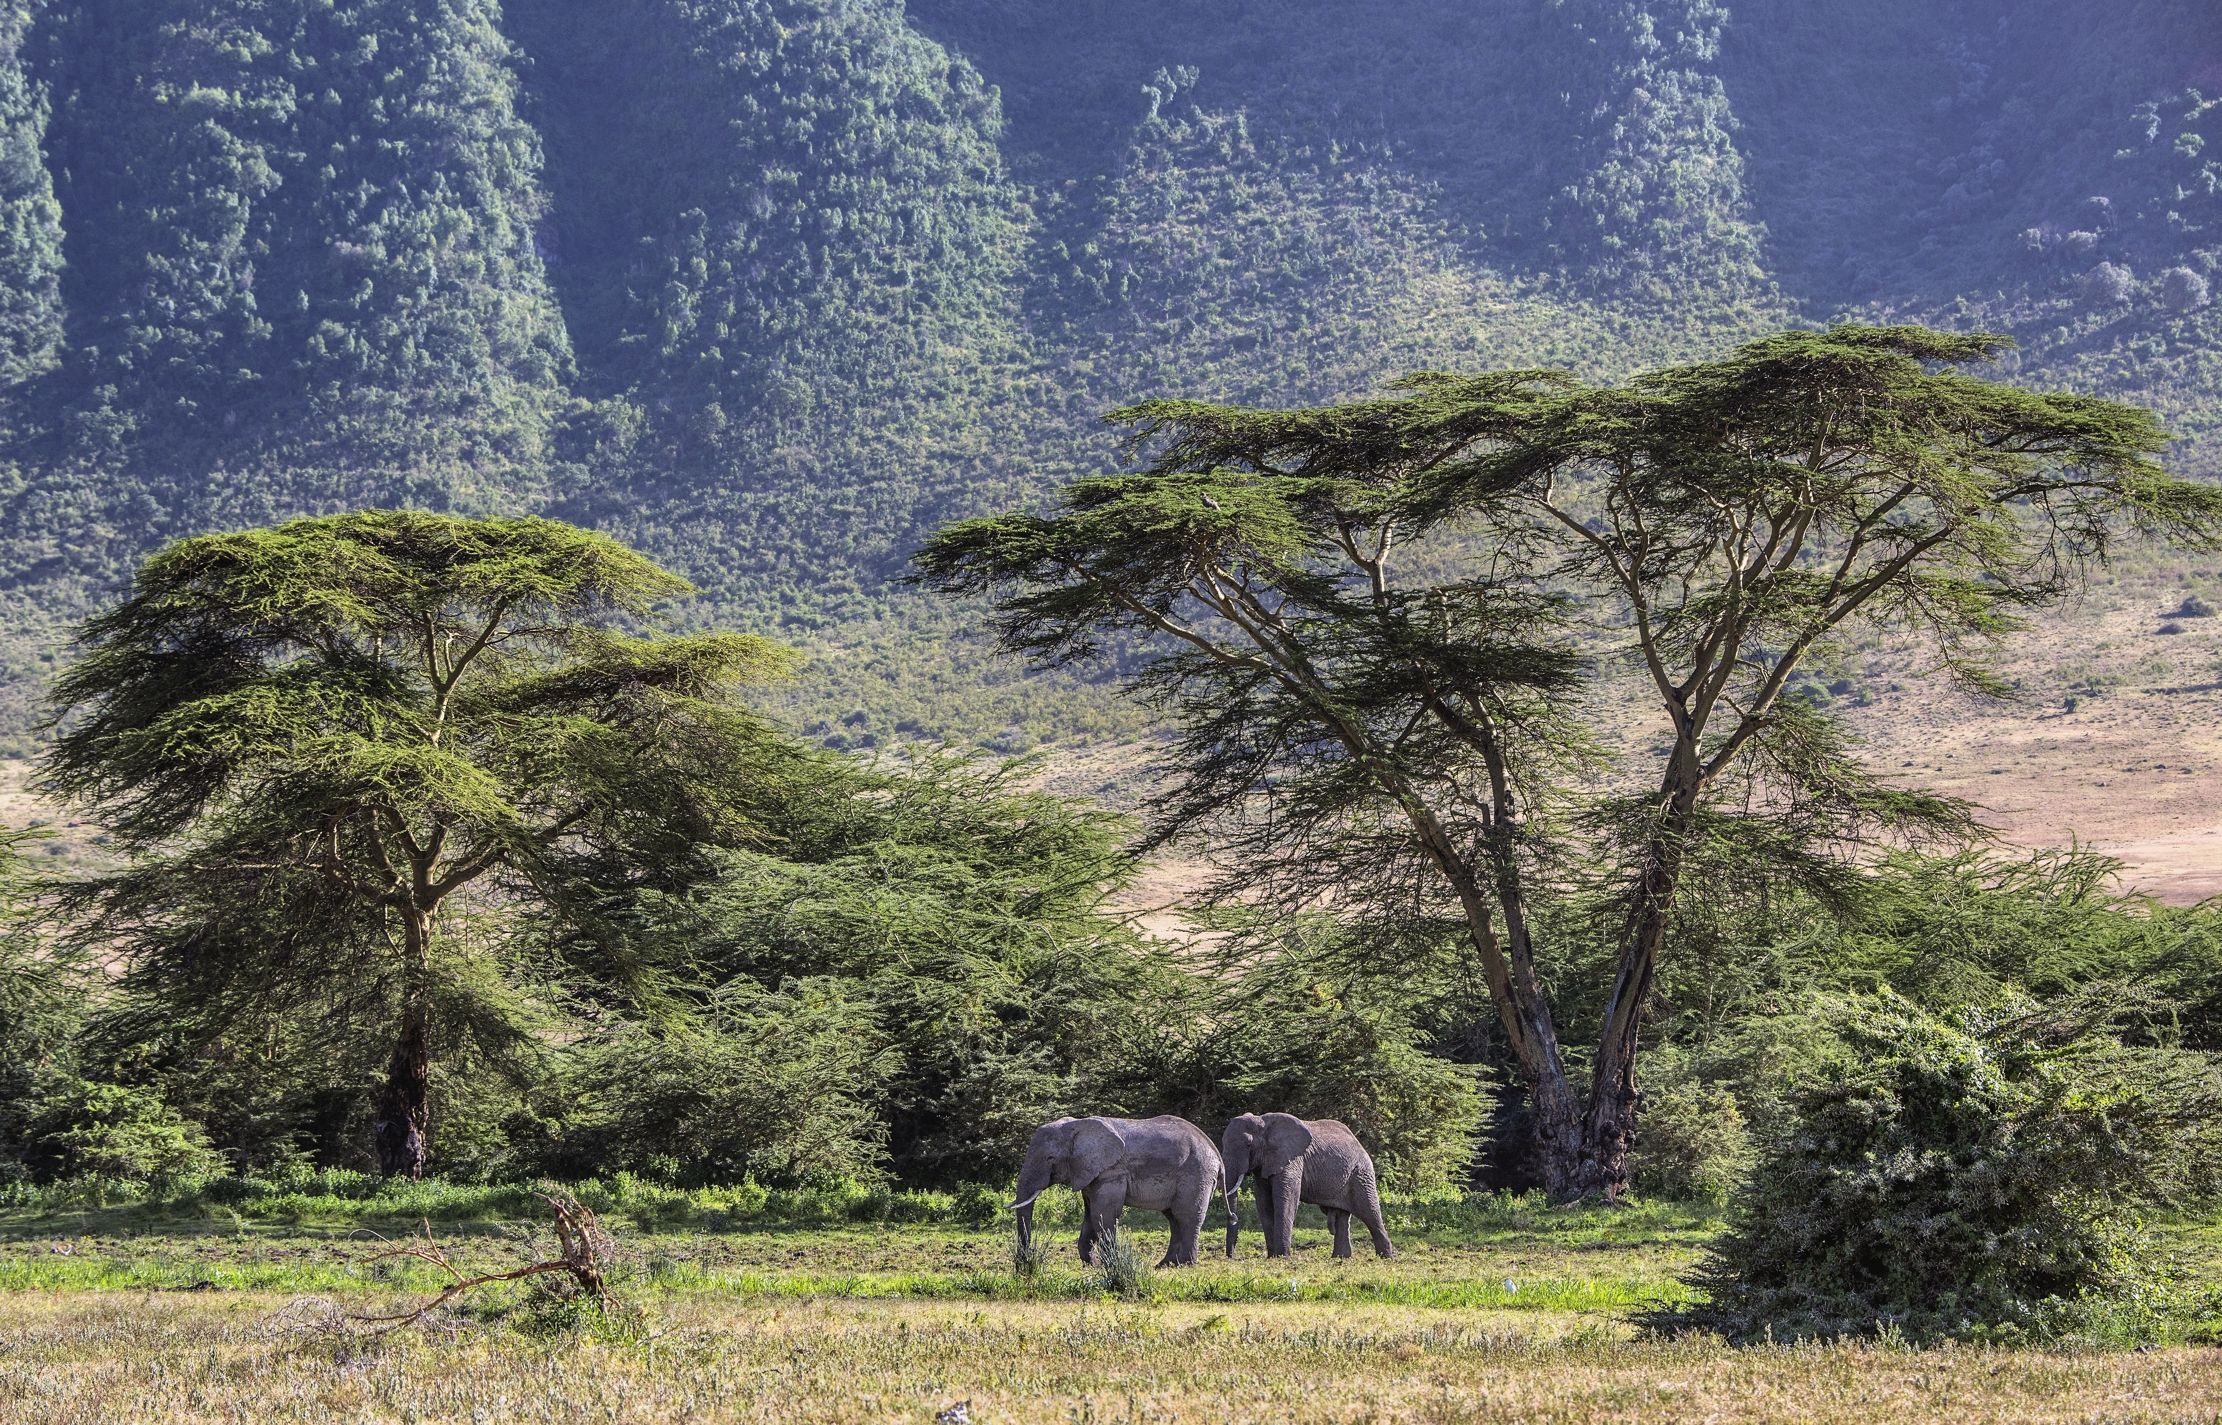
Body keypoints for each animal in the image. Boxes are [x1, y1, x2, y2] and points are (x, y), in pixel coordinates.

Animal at [1017, 1111, 1226, 1262]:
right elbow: (1091, 1216)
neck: (1078, 1125)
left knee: (1187, 1216)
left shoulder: (1112, 1172)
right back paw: (1166, 1265)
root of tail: (1216, 1152)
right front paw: (1094, 1265)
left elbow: (1103, 1214)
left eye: (1050, 1158)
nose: (1023, 1266)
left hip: (1197, 1174)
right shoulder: (1091, 1173)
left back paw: (1185, 1264)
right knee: (1174, 1219)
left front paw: (1110, 1264)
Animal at [1226, 1111, 1395, 1253]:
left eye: (1249, 1144)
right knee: (1342, 1217)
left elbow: (1286, 1200)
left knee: (1369, 1212)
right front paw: (1273, 1258)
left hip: (1361, 1173)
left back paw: (1386, 1258)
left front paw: (1282, 1257)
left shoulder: (1292, 1160)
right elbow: (1264, 1203)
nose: (1231, 1256)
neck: (1261, 1121)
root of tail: (1358, 1142)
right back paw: (1340, 1259)